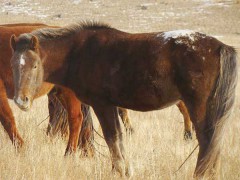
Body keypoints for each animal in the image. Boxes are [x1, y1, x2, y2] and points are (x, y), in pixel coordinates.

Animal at [9, 22, 236, 179]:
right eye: (12, 65)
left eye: (35, 65)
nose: (22, 100)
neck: (79, 53)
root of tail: (220, 46)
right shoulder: (113, 106)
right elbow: (118, 138)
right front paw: (124, 170)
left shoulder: (102, 104)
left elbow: (112, 137)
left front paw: (118, 170)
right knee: (213, 142)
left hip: (199, 106)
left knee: (207, 141)